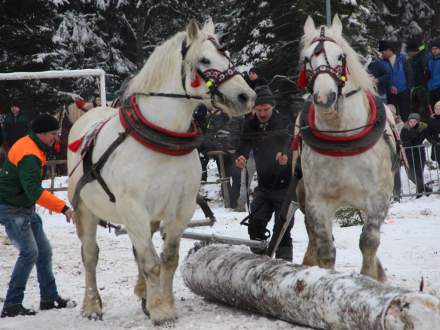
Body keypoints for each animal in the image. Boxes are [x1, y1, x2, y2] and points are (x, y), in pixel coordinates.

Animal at [67, 20, 256, 324]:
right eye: (204, 60)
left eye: (226, 55)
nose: (246, 96)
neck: (162, 139)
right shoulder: (134, 209)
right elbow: (151, 262)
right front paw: (160, 311)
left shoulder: (181, 209)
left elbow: (167, 259)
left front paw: (161, 303)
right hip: (86, 210)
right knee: (91, 255)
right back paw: (92, 305)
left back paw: (143, 293)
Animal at [296, 15, 396, 282]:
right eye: (306, 58)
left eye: (340, 56)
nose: (324, 97)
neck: (341, 135)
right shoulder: (317, 201)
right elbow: (325, 249)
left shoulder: (378, 197)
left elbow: (369, 241)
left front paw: (370, 277)